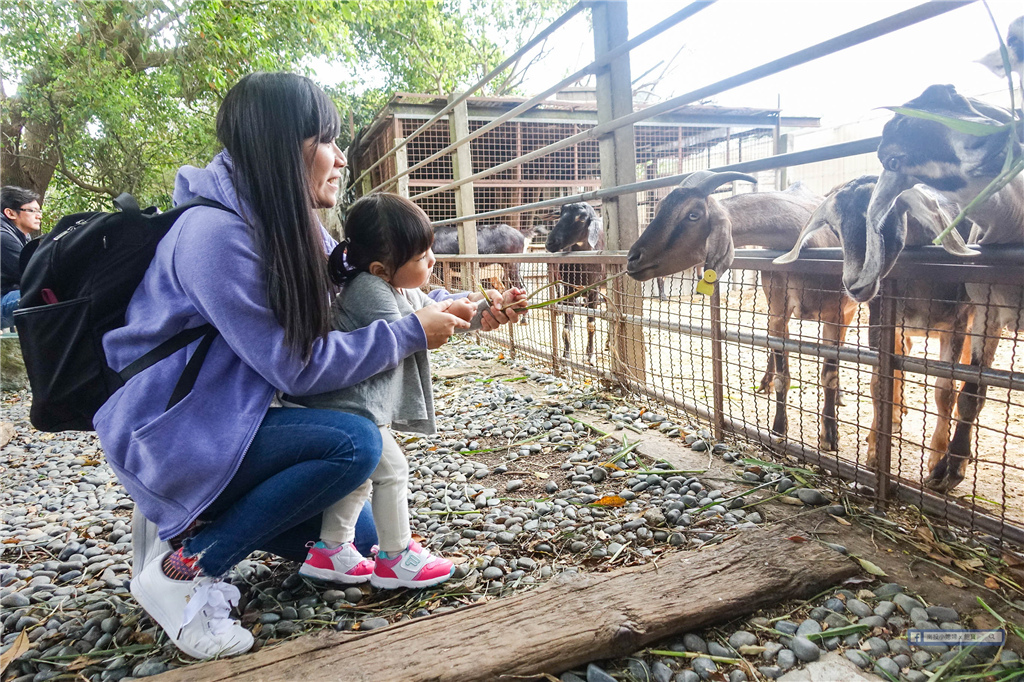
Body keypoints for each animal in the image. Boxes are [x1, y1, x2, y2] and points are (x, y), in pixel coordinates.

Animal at [548, 200, 602, 364]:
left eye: (582, 218)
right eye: (560, 214)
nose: (550, 242)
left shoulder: (594, 291)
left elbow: (591, 325)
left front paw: (590, 357)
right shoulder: (569, 291)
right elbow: (566, 329)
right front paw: (565, 356)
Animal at [622, 168, 856, 450]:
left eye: (693, 215)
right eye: (659, 208)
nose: (632, 259)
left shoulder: (835, 316)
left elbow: (829, 375)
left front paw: (830, 436)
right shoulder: (778, 310)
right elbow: (783, 375)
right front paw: (778, 429)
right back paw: (765, 382)